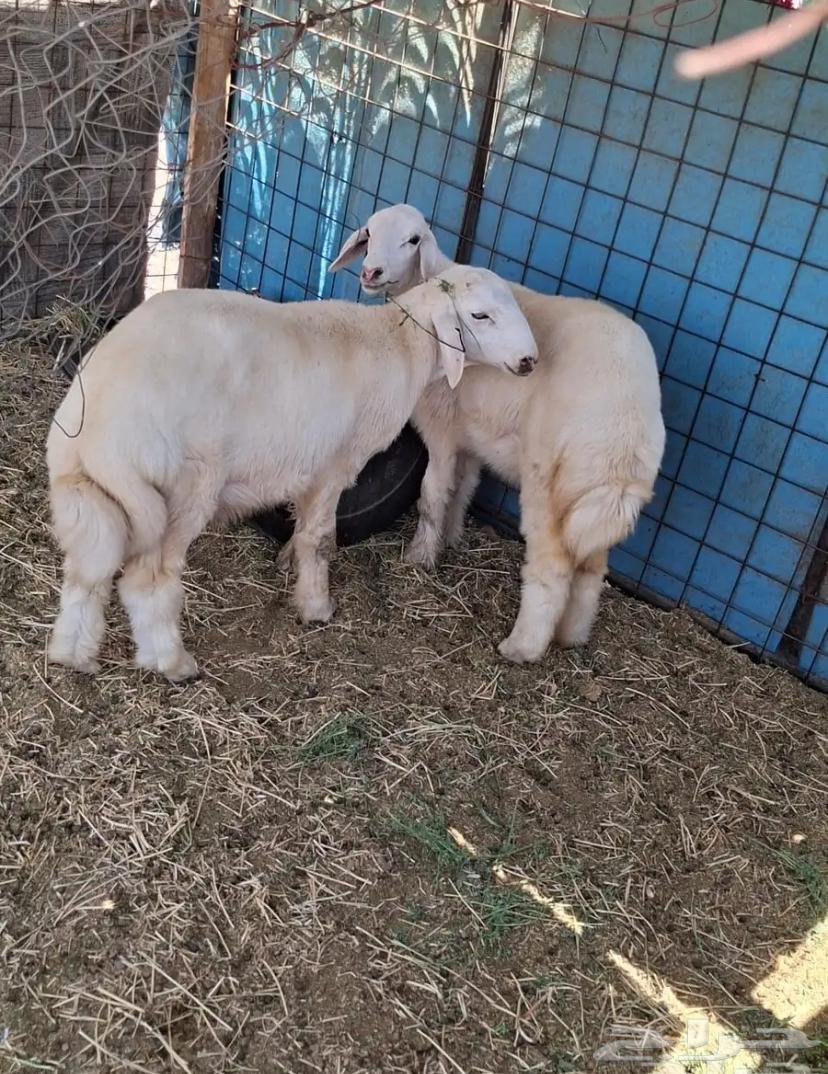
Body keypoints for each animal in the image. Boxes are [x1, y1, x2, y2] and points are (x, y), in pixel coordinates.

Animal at [46, 266, 538, 681]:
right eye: (480, 315)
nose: (530, 361)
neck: (397, 346)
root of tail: (100, 423)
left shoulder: (309, 465)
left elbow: (302, 529)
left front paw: (290, 566)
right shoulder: (337, 464)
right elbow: (319, 538)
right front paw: (317, 606)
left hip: (87, 493)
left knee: (86, 572)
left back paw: (73, 655)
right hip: (182, 490)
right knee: (147, 579)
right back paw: (171, 662)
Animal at [329, 204, 666, 663]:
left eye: (413, 240)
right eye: (369, 232)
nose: (370, 271)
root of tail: (629, 414)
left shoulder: (442, 427)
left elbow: (433, 493)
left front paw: (421, 556)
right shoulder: (473, 433)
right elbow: (464, 487)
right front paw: (452, 539)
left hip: (549, 479)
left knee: (552, 567)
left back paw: (522, 647)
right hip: (592, 491)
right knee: (592, 566)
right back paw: (572, 635)